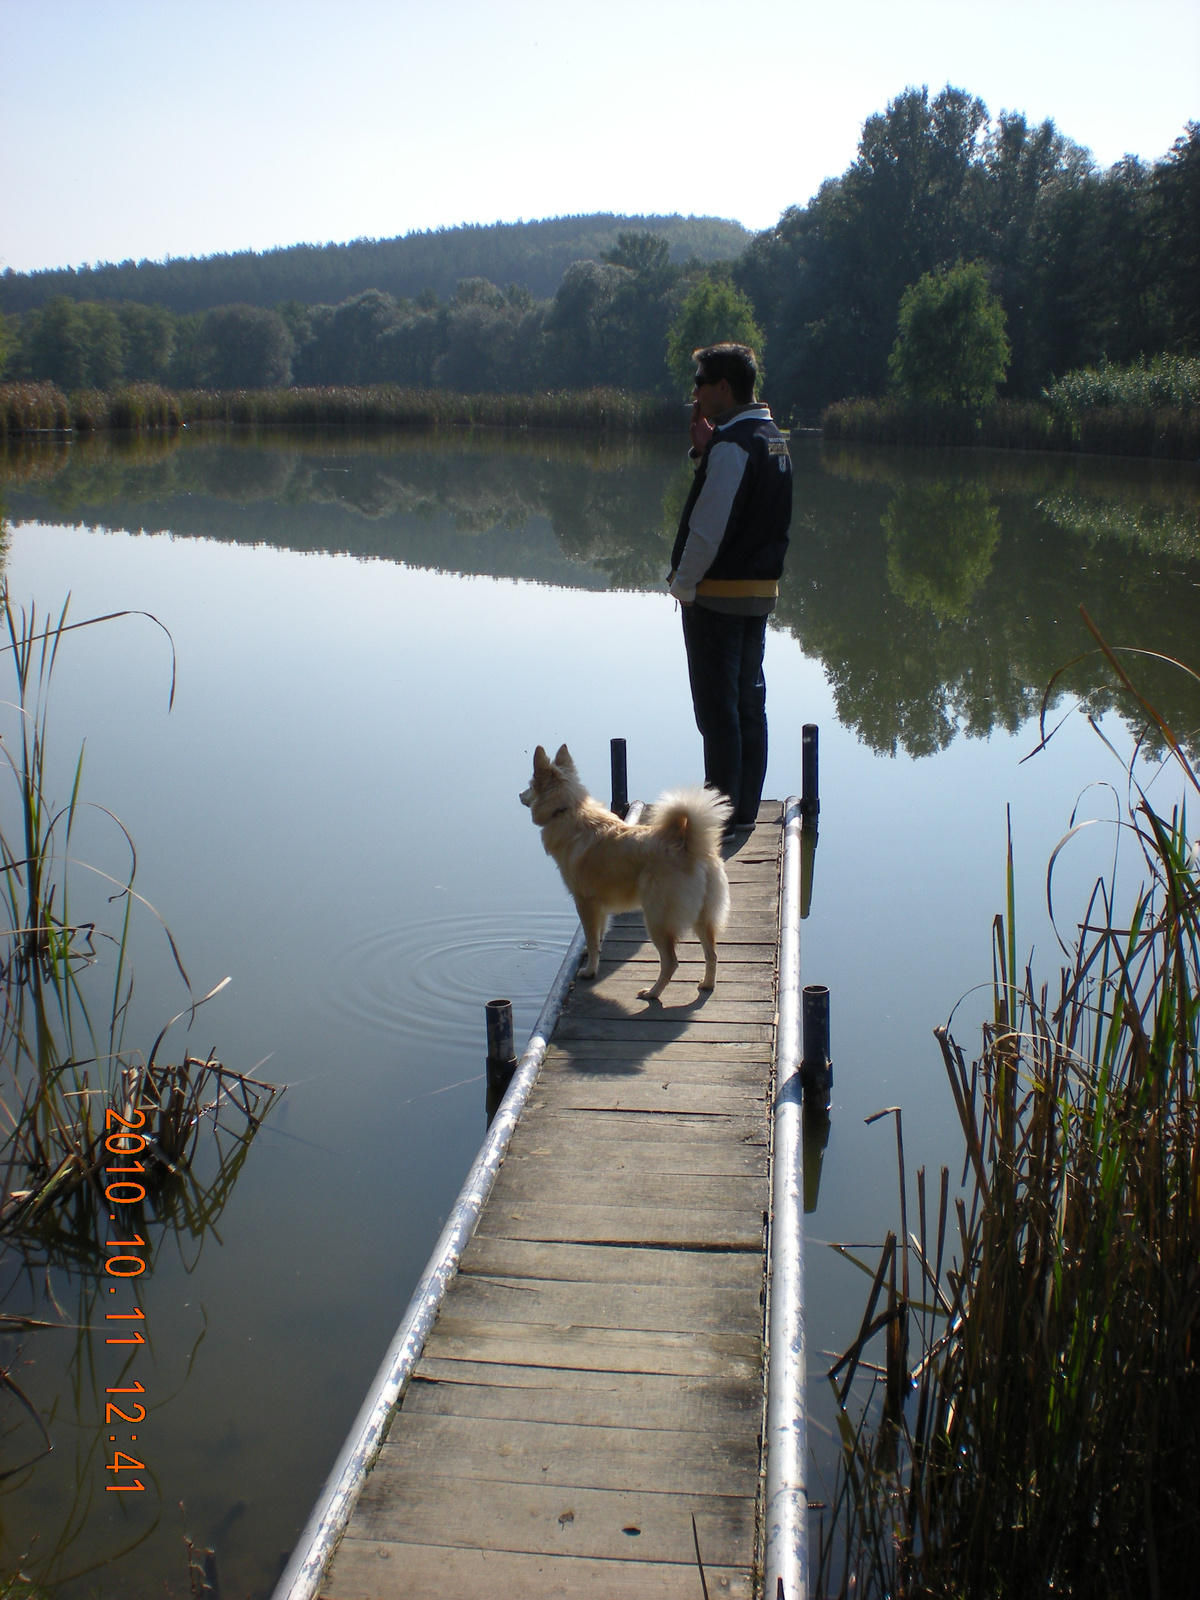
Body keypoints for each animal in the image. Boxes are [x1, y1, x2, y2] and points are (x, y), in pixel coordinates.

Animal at [524, 739, 739, 992]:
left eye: (530, 785)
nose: (519, 794)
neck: (568, 809)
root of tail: (690, 846)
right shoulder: (599, 905)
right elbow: (598, 936)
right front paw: (589, 952)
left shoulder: (584, 902)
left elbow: (592, 938)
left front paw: (589, 970)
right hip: (703, 918)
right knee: (712, 954)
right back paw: (706, 984)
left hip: (657, 919)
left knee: (671, 962)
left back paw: (652, 993)